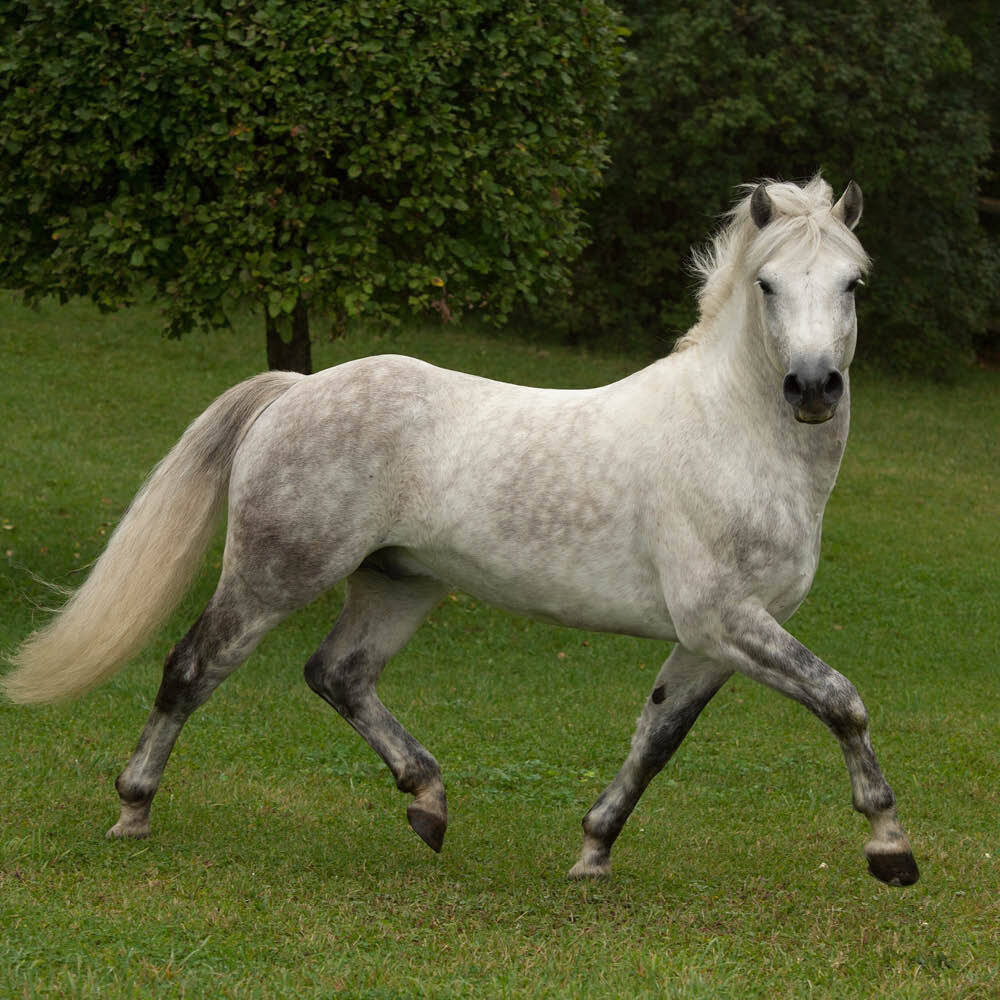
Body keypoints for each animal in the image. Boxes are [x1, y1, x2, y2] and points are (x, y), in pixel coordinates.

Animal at [3, 175, 919, 887]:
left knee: (337, 675)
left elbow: (656, 738)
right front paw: (890, 847)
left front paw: (592, 852)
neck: (735, 436)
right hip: (274, 574)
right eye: (768, 285)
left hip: (397, 584)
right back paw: (133, 809)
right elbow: (843, 701)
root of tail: (295, 389)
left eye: (853, 283)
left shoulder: (712, 640)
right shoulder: (726, 620)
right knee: (192, 669)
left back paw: (429, 804)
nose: (812, 387)